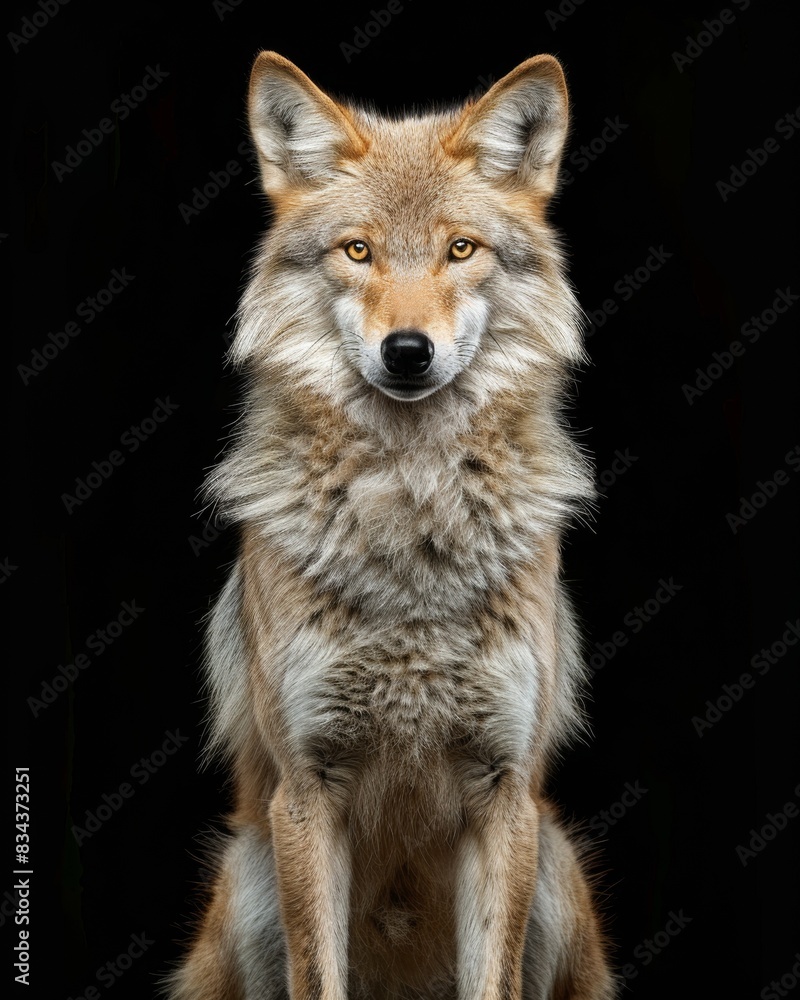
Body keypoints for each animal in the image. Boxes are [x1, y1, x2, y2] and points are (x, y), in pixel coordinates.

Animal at [167, 51, 617, 1000]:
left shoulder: (505, 791)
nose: (407, 351)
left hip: (555, 864)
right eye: (358, 250)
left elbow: (494, 982)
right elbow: (318, 977)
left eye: (460, 249)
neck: (412, 515)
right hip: (250, 873)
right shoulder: (306, 792)